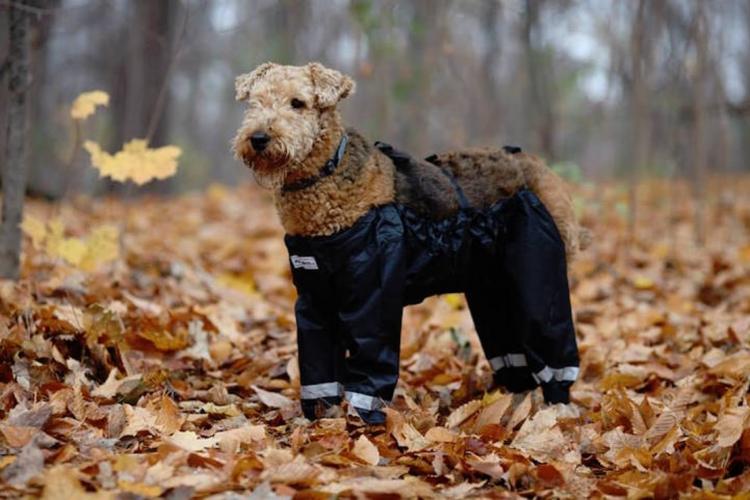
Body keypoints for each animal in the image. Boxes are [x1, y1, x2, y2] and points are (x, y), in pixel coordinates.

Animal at [232, 60, 584, 424]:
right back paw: (512, 409)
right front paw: (320, 419)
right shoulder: (315, 299)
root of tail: (538, 165)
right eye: (254, 101)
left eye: (297, 103)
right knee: (516, 362)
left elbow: (369, 366)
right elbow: (320, 373)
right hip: (492, 293)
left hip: (538, 282)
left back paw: (556, 408)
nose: (258, 138)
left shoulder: (372, 300)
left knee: (553, 352)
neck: (325, 177)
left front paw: (359, 422)